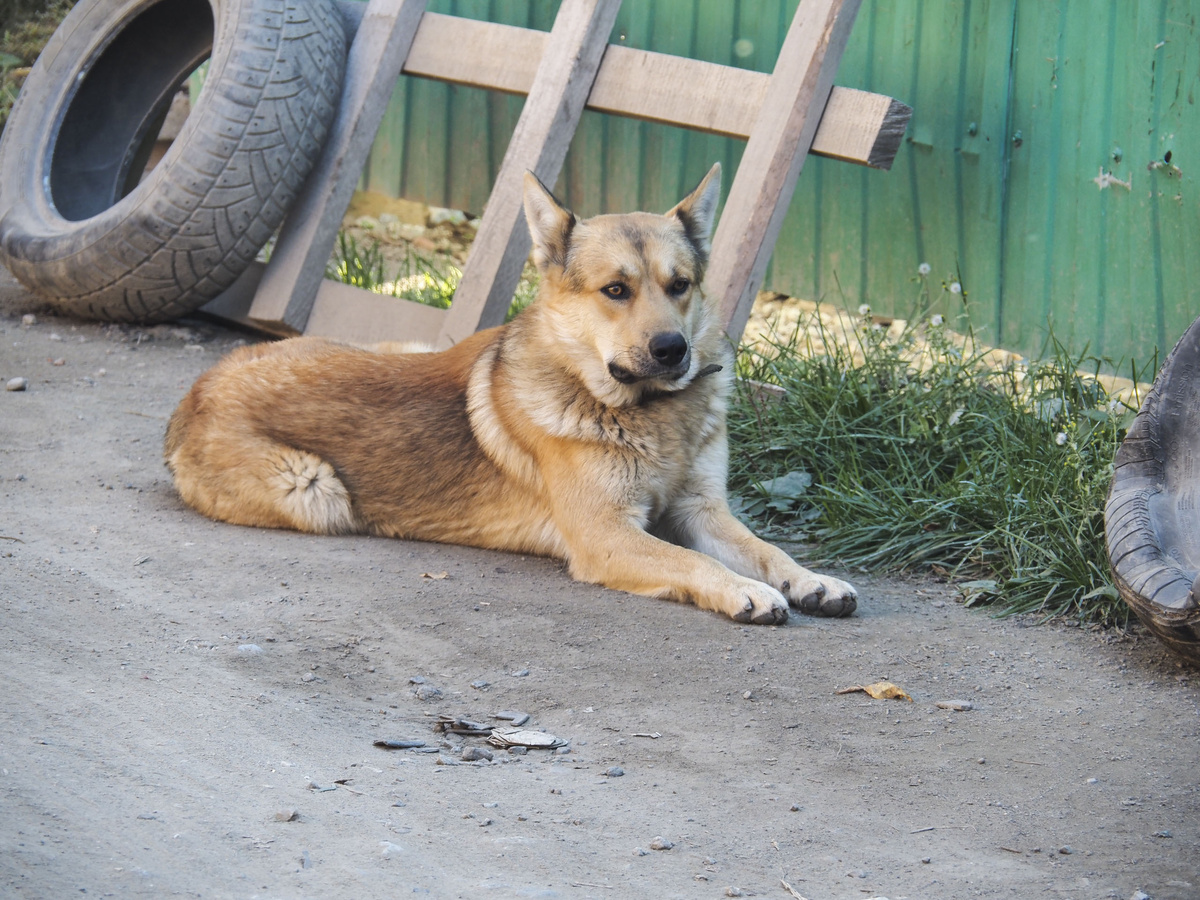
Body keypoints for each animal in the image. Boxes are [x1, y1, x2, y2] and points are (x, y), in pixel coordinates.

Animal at [164, 165, 859, 624]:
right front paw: (746, 590)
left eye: (680, 285)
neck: (645, 412)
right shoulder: (608, 535)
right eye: (615, 290)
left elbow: (765, 549)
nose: (672, 350)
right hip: (316, 491)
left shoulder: (702, 512)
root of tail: (203, 383)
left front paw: (810, 579)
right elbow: (699, 565)